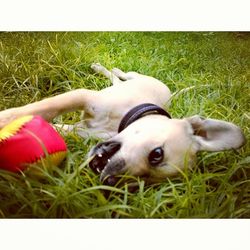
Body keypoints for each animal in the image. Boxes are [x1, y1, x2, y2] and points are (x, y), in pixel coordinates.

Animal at [0, 63, 246, 185]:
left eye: (144, 180)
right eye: (157, 154)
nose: (109, 180)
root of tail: (170, 92)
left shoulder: (84, 132)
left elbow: (60, 128)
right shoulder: (84, 96)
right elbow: (46, 107)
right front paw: (6, 118)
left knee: (114, 79)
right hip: (136, 77)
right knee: (123, 74)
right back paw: (102, 67)